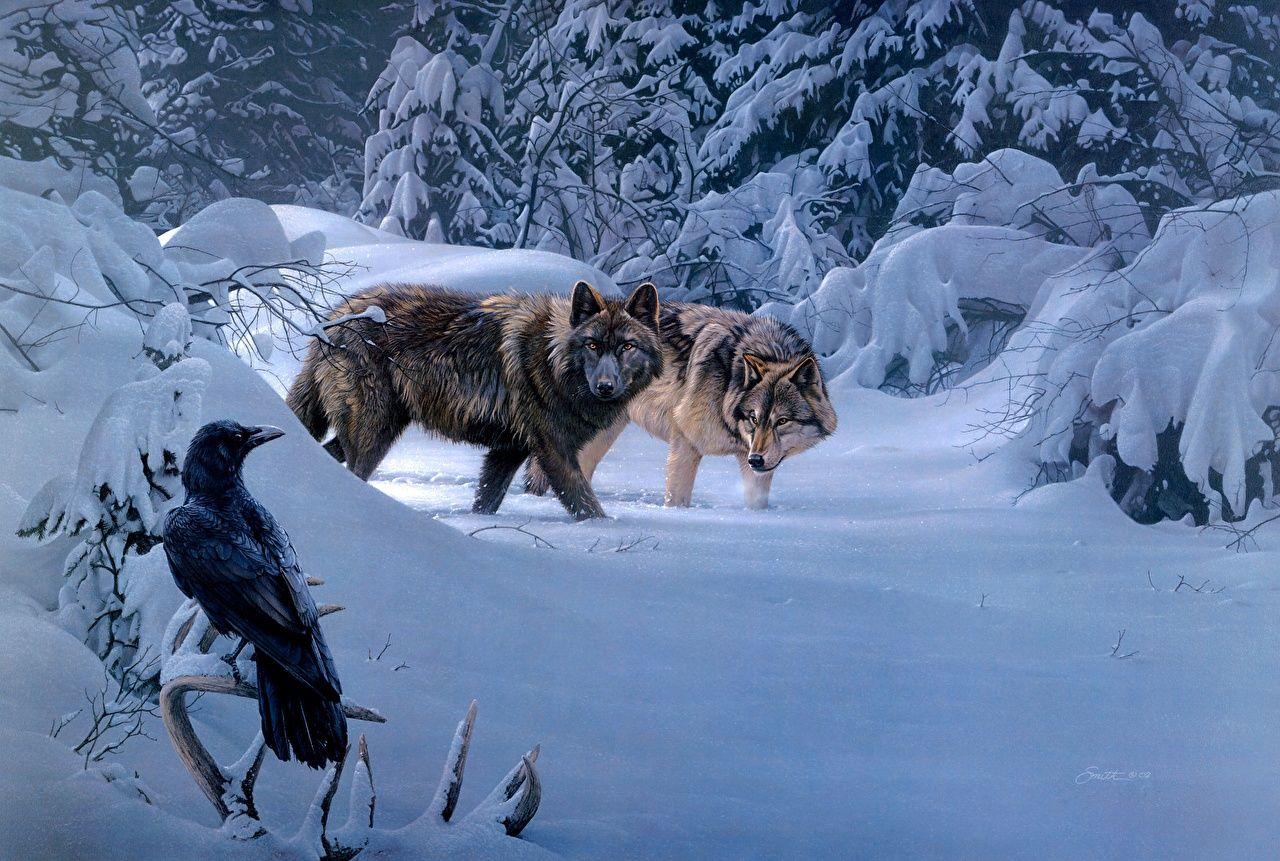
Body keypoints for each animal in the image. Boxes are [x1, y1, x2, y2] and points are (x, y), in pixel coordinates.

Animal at [287, 280, 662, 520]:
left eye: (627, 347)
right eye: (593, 345)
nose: (605, 387)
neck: (550, 357)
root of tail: (332, 319)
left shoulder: (509, 451)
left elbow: (486, 500)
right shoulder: (554, 452)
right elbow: (586, 506)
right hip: (373, 434)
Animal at [526, 302, 836, 510]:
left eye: (781, 421)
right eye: (754, 417)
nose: (756, 460)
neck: (729, 381)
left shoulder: (750, 459)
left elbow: (756, 502)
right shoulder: (685, 442)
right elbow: (677, 499)